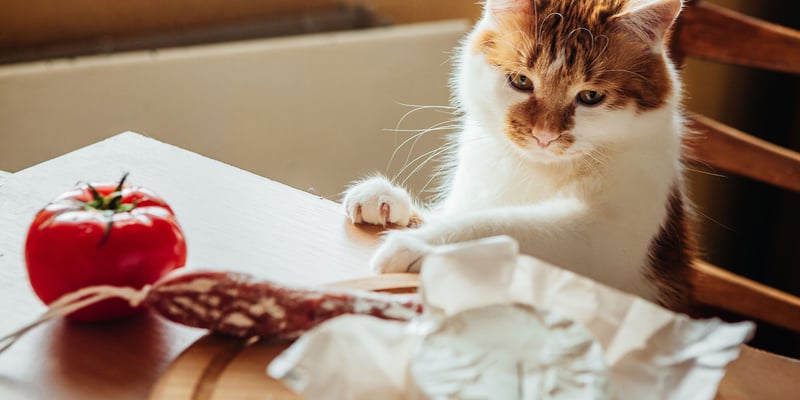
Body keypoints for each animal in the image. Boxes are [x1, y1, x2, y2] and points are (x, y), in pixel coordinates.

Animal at [342, 0, 692, 310]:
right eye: (521, 80)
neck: (537, 169)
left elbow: (497, 225)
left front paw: (421, 243)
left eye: (591, 96)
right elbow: (450, 213)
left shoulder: (608, 236)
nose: (544, 136)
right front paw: (384, 199)